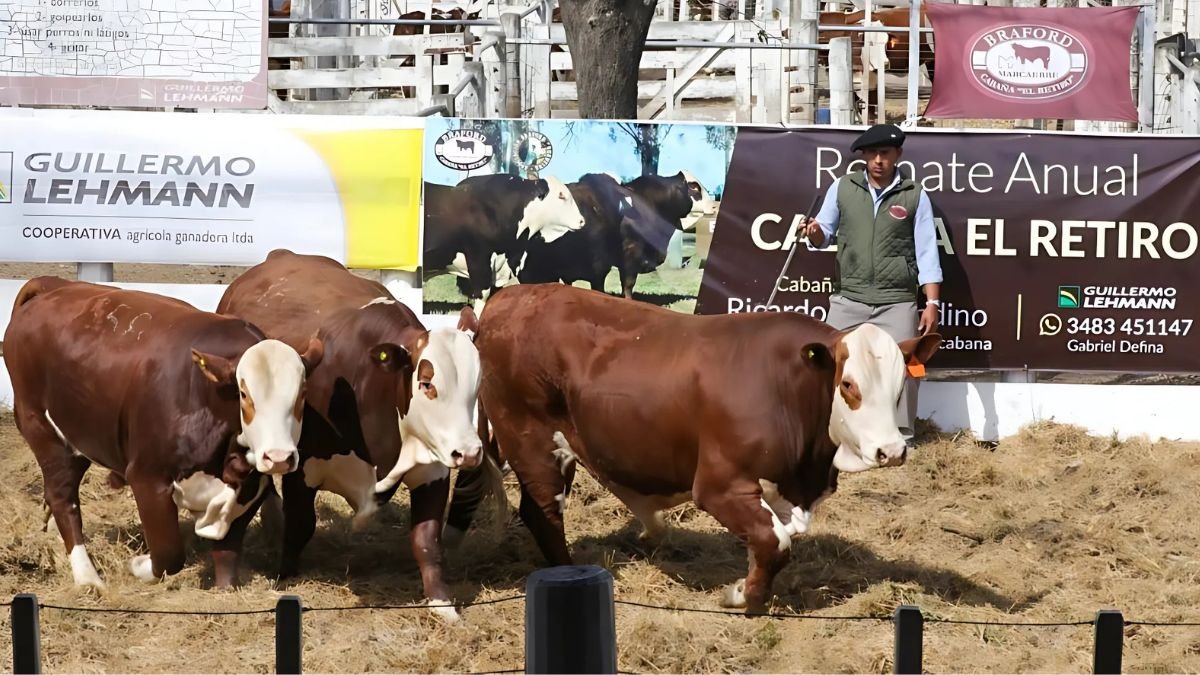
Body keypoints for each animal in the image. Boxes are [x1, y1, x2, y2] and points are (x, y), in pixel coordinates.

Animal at [4, 276, 323, 592]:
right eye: (244, 394)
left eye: (302, 393)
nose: (279, 457)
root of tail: (52, 286)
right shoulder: (147, 478)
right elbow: (169, 554)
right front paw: (138, 565)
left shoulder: (250, 488)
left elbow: (228, 552)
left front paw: (224, 588)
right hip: (44, 432)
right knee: (63, 498)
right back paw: (87, 578)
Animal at [215, 249, 494, 623]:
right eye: (427, 384)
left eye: (477, 382)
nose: (470, 452)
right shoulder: (302, 467)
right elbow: (301, 525)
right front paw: (284, 577)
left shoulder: (432, 469)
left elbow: (426, 539)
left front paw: (442, 603)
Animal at [447, 283, 941, 613]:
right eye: (849, 384)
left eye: (899, 384)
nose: (891, 450)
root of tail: (509, 297)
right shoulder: (721, 485)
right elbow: (774, 543)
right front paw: (745, 597)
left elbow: (773, 539)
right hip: (532, 441)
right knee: (544, 513)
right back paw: (568, 574)